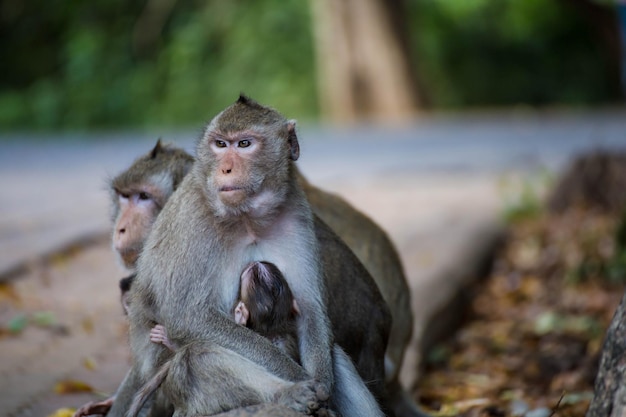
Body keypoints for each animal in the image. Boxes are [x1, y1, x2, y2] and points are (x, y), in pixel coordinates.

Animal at [105, 95, 338, 416]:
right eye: (220, 144)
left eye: (244, 144)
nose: (225, 169)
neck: (247, 217)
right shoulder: (193, 217)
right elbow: (189, 317)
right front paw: (303, 380)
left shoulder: (296, 210)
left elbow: (310, 309)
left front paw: (323, 387)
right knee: (198, 355)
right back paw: (291, 393)